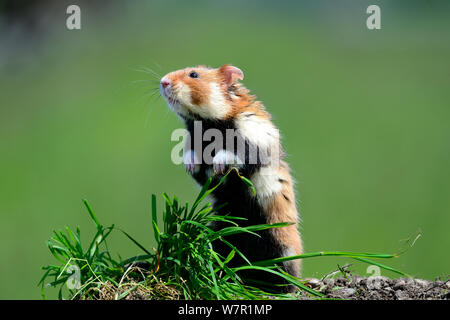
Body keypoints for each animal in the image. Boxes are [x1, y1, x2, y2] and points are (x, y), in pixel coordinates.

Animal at [158, 63, 302, 292]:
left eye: (194, 75)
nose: (163, 81)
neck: (206, 123)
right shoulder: (194, 144)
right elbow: (193, 157)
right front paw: (190, 165)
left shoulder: (254, 141)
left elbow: (233, 154)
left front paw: (218, 164)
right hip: (220, 234)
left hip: (280, 244)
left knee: (285, 275)